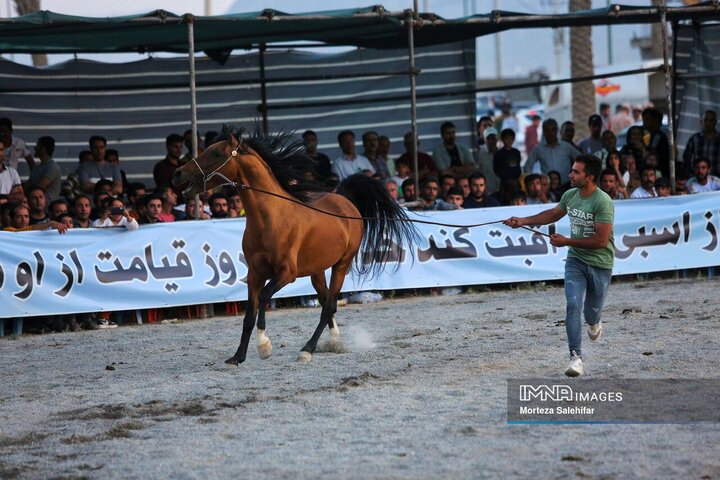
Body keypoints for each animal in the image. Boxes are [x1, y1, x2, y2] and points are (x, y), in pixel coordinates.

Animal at [174, 125, 416, 366]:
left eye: (215, 153)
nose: (178, 174)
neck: (270, 218)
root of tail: (345, 201)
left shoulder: (287, 273)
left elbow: (264, 297)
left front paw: (264, 346)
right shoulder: (254, 273)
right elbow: (249, 314)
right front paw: (238, 356)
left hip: (341, 264)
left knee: (329, 305)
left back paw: (308, 349)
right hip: (317, 269)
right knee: (326, 301)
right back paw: (333, 340)